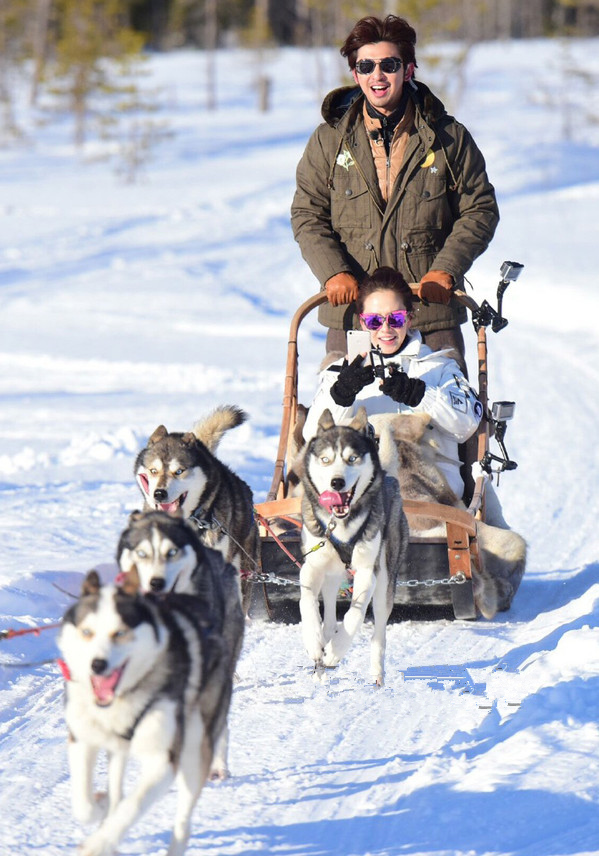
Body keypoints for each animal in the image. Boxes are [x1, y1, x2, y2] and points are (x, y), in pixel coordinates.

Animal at [57, 568, 243, 856]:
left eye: (120, 633)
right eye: (87, 632)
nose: (97, 665)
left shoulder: (163, 759)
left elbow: (132, 806)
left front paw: (98, 844)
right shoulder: (82, 740)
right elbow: (83, 805)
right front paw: (100, 804)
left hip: (193, 750)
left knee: (182, 822)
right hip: (119, 749)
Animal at [298, 406, 410, 684]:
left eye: (352, 458)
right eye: (325, 459)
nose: (336, 482)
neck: (340, 524)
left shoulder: (367, 572)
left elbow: (355, 615)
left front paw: (336, 652)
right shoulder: (311, 566)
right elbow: (307, 603)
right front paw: (314, 641)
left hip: (385, 578)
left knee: (379, 630)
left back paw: (376, 673)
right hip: (331, 574)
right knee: (328, 606)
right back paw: (323, 649)